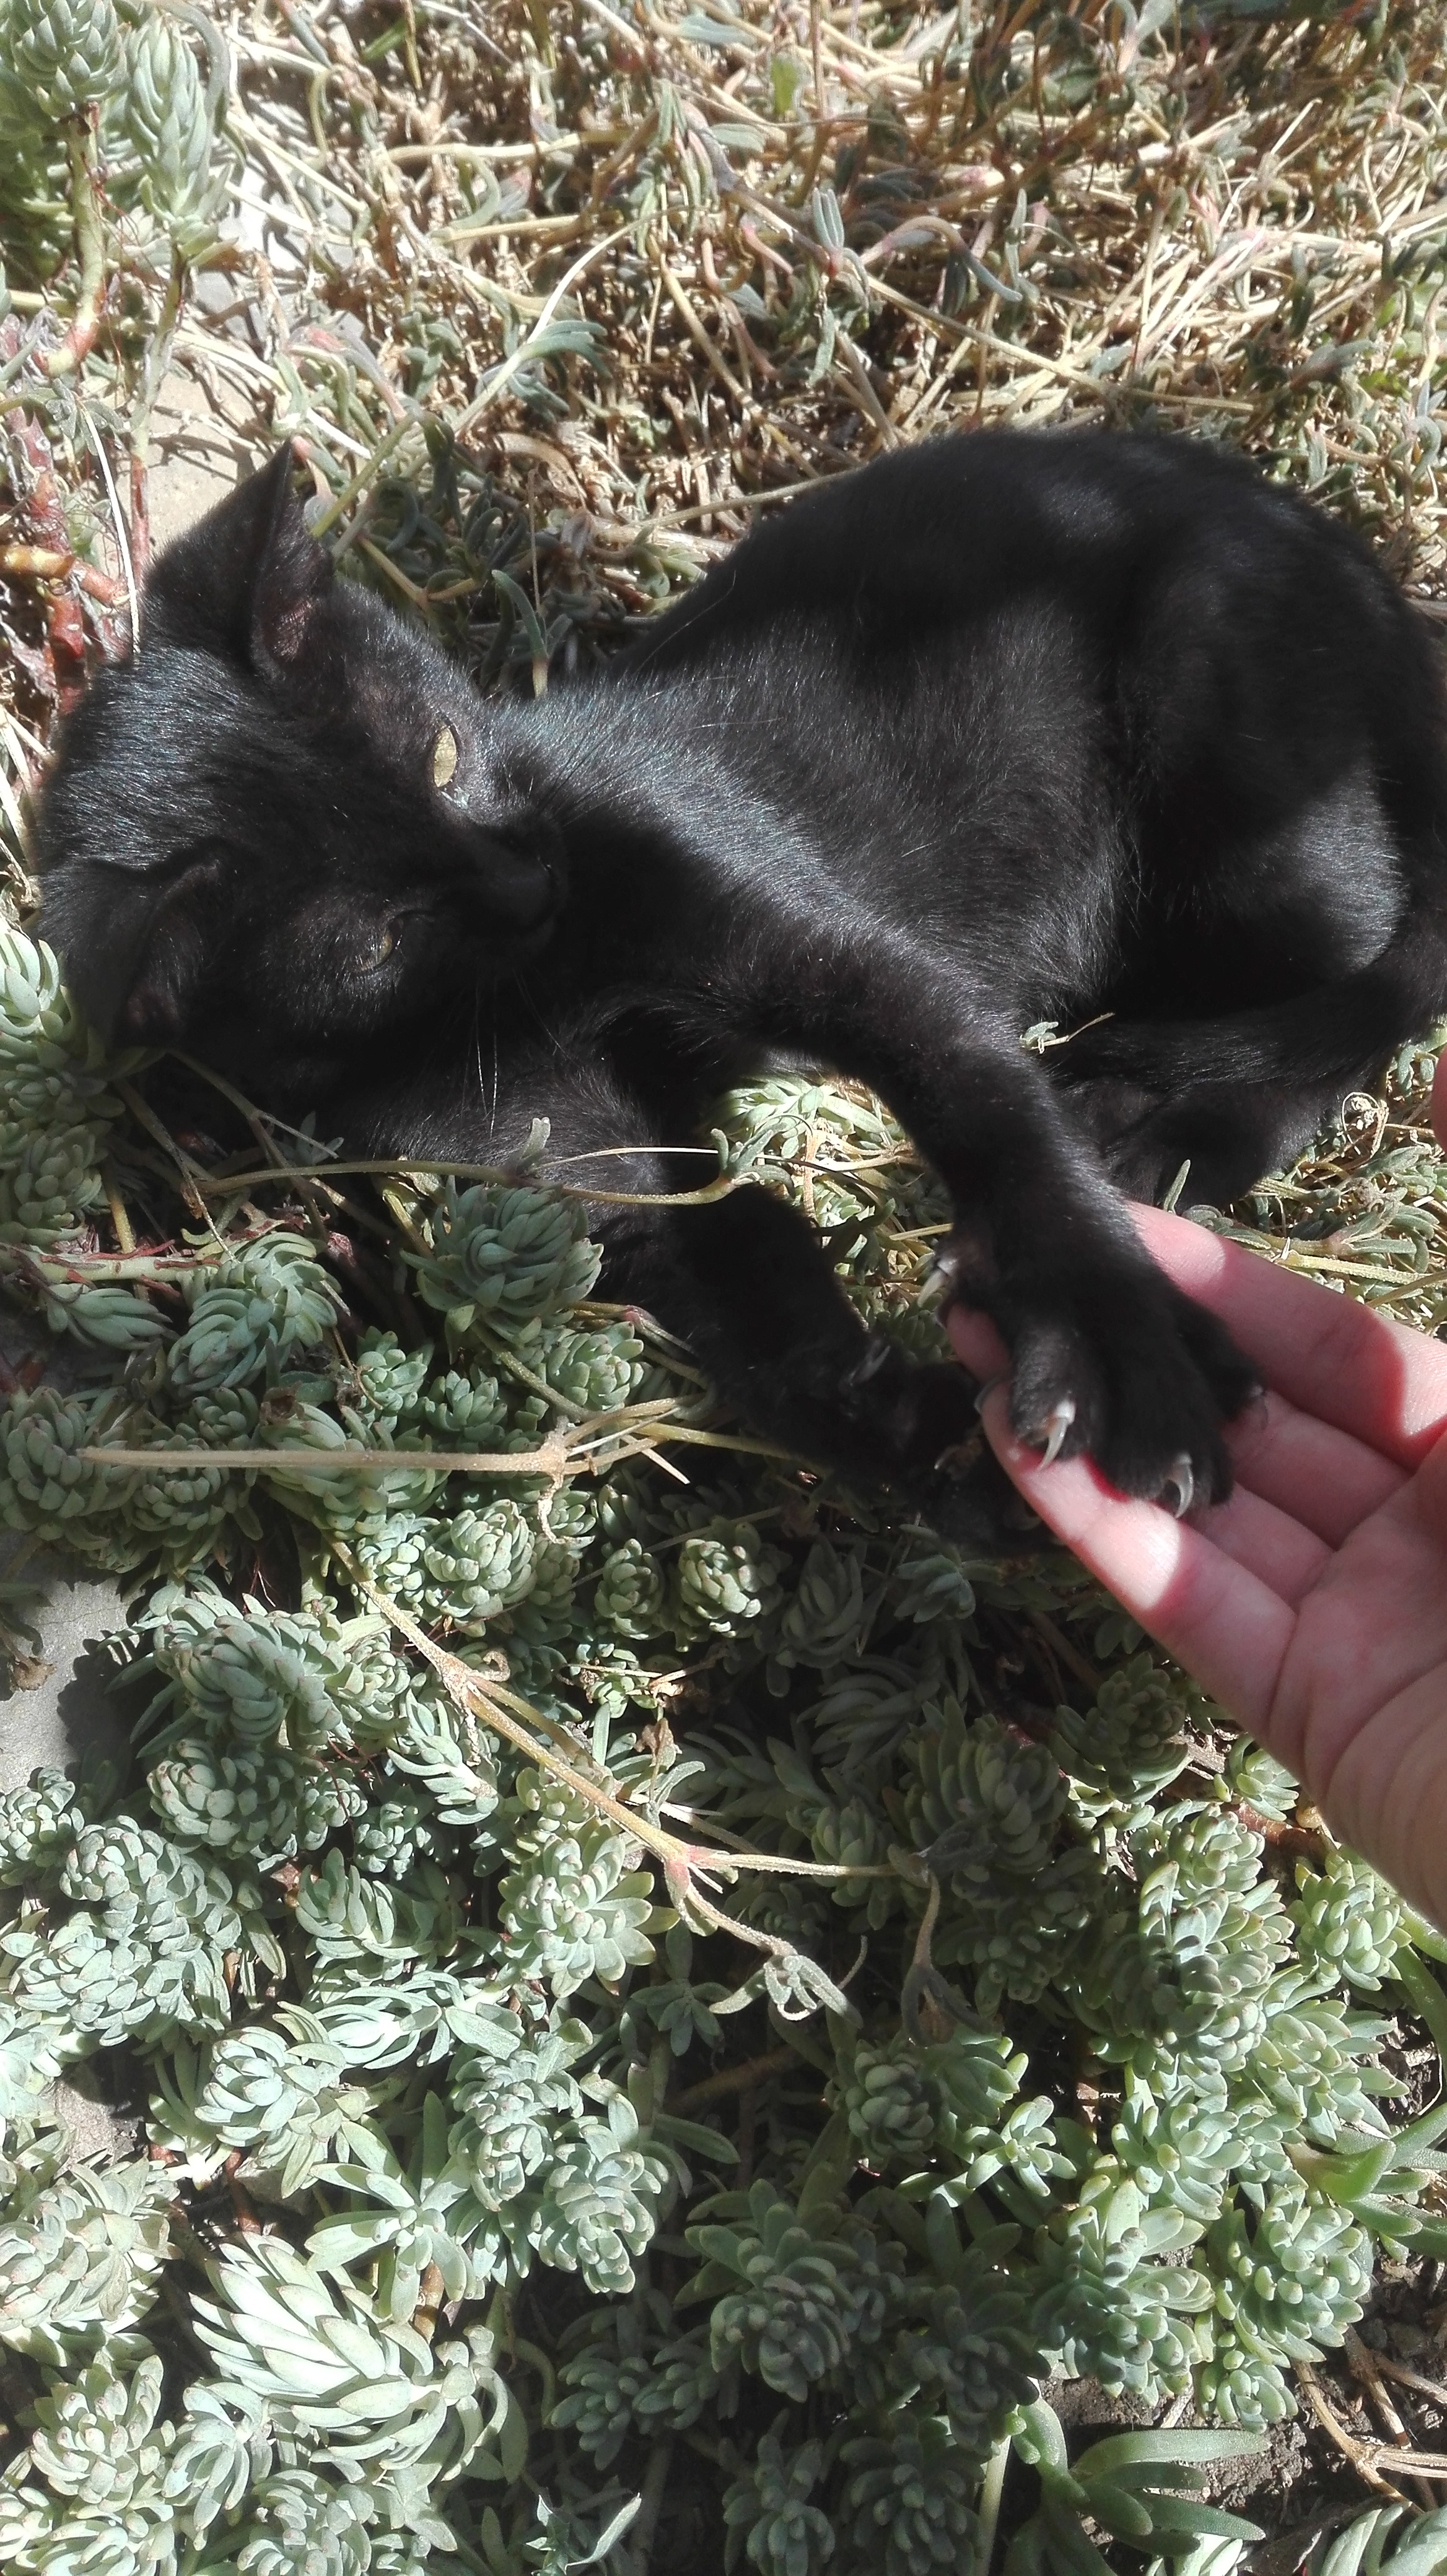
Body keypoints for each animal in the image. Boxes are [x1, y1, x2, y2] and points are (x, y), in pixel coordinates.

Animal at [33, 428, 1447, 1542]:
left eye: (436, 755)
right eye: (378, 940)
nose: (528, 877)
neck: (532, 992)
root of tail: (1367, 576)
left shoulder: (832, 954)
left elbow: (987, 1113)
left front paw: (1116, 1348)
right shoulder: (591, 1191)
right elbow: (751, 1291)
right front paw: (920, 1434)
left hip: (1236, 796)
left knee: (1378, 976)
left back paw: (1160, 1129)